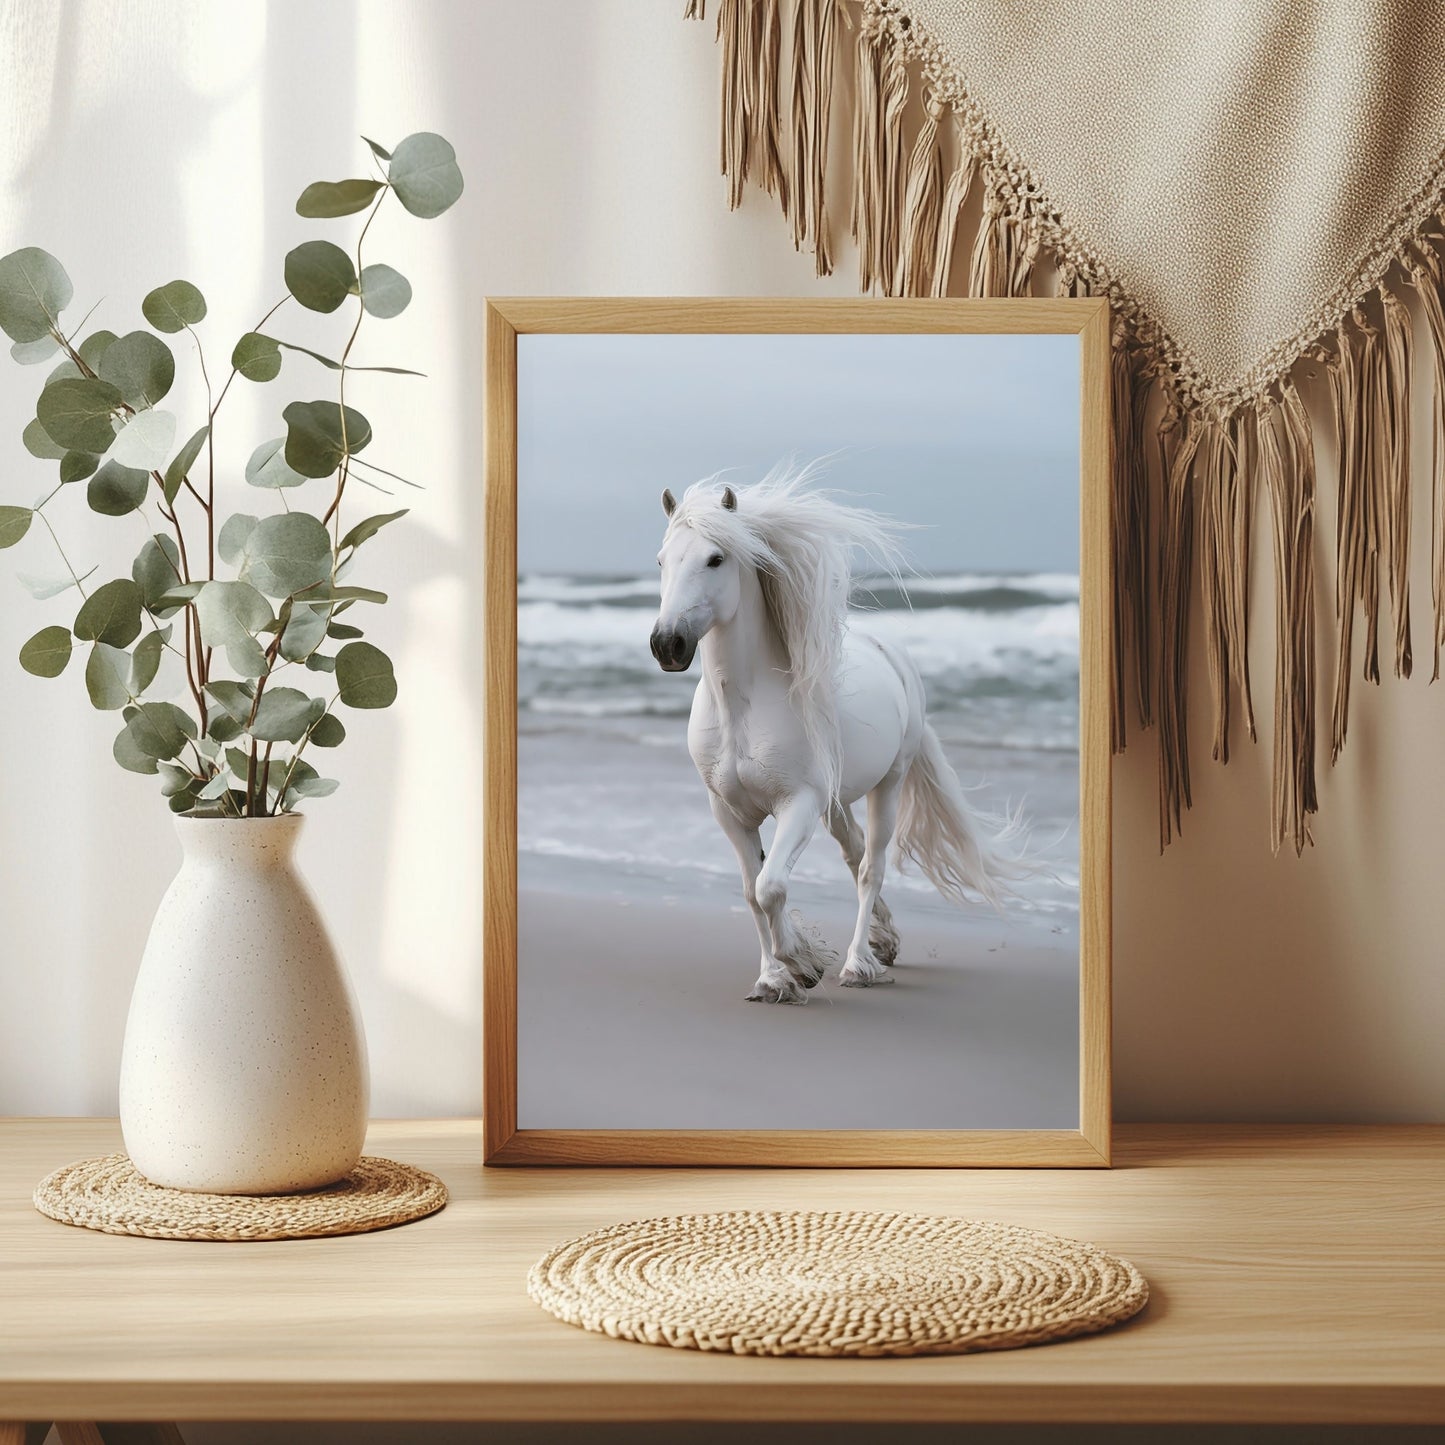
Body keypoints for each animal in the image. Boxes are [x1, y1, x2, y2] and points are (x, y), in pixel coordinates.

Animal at [649, 464, 1026, 1004]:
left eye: (715, 559)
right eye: (661, 560)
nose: (667, 644)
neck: (742, 709)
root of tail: (894, 654)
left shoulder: (799, 804)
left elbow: (770, 886)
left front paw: (804, 965)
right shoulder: (729, 812)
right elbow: (751, 892)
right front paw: (772, 979)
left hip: (887, 783)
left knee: (870, 867)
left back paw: (857, 963)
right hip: (837, 801)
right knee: (854, 853)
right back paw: (883, 941)